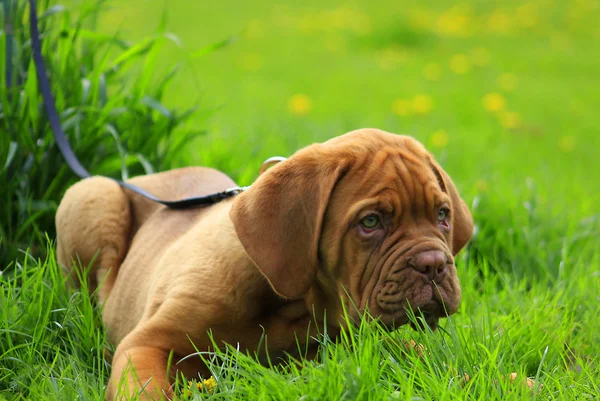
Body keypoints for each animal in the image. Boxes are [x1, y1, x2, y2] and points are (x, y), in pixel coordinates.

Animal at [58, 129, 476, 400]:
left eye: (442, 215)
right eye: (370, 221)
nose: (433, 264)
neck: (294, 304)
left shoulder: (362, 341)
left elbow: (422, 355)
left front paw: (474, 377)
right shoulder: (146, 343)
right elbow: (145, 389)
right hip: (93, 194)